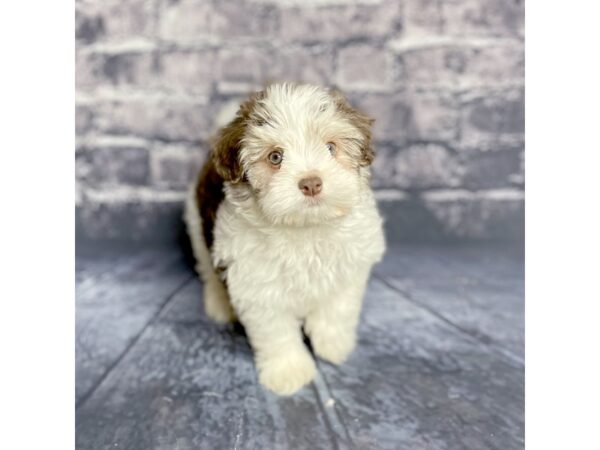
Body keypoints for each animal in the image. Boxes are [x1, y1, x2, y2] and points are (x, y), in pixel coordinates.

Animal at [185, 82, 386, 396]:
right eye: (275, 157)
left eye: (331, 148)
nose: (311, 183)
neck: (304, 228)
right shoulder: (259, 287)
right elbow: (276, 332)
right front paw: (288, 371)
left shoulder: (350, 267)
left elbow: (337, 309)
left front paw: (333, 345)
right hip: (197, 224)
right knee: (207, 268)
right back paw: (219, 304)